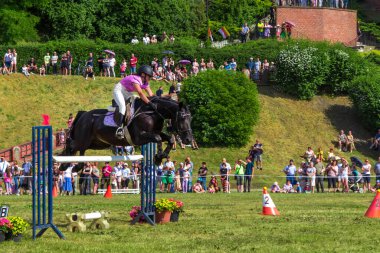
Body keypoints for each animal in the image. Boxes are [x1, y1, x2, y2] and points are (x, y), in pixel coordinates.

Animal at [63, 95, 193, 164]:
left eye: (190, 118)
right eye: (182, 118)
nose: (188, 139)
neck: (152, 112)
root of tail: (83, 115)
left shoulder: (155, 132)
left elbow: (170, 139)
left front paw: (161, 156)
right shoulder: (139, 137)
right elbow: (158, 138)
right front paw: (159, 156)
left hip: (97, 144)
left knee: (79, 149)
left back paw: (74, 166)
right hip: (83, 140)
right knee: (71, 145)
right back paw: (64, 165)